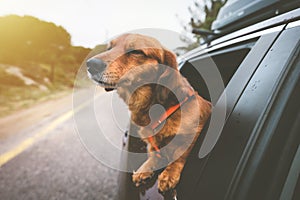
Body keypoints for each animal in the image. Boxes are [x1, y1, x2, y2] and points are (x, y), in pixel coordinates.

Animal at [85, 33, 210, 193]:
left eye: (137, 52)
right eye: (109, 48)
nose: (90, 64)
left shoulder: (192, 134)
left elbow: (180, 155)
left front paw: (169, 174)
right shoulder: (151, 142)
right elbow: (154, 154)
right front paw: (145, 168)